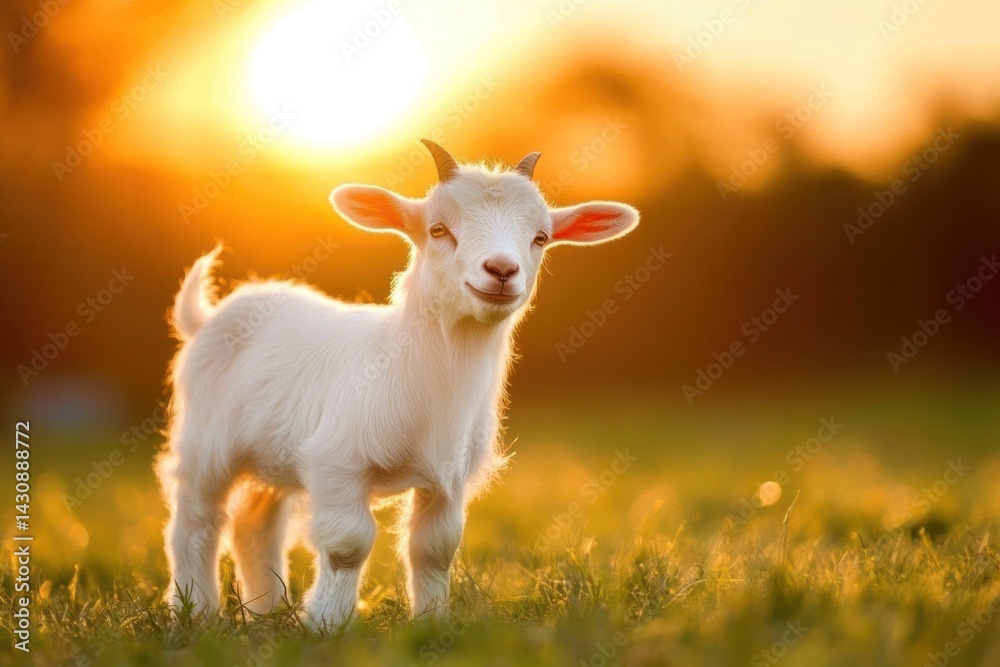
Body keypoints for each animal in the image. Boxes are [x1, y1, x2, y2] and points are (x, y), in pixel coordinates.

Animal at [156, 140, 639, 629]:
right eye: (438, 229)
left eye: (540, 237)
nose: (502, 270)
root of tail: (209, 316)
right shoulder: (337, 462)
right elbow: (348, 543)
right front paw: (327, 623)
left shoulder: (448, 476)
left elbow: (435, 549)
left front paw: (430, 622)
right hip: (205, 441)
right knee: (196, 522)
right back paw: (196, 611)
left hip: (271, 451)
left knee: (255, 524)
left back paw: (266, 611)